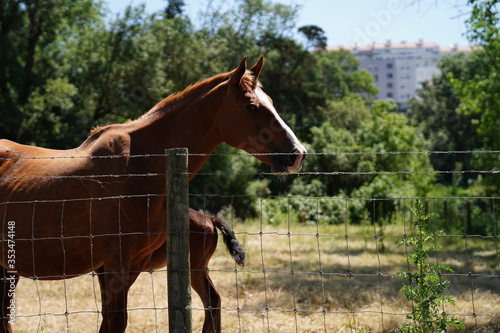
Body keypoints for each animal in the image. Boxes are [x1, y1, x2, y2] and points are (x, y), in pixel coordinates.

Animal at [0, 55, 304, 330]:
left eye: (271, 103)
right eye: (251, 107)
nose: (297, 154)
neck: (139, 165)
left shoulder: (128, 264)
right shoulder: (115, 262)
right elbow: (114, 321)